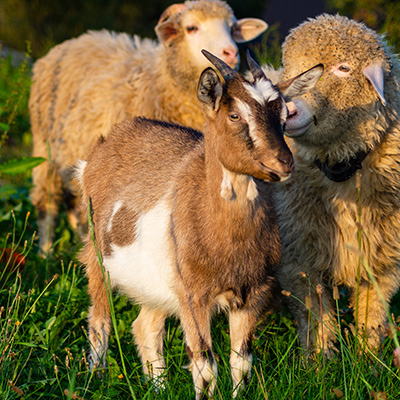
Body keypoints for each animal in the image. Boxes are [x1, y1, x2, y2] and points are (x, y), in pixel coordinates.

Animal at [29, 0, 268, 250]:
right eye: (191, 28)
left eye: (232, 28)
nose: (230, 53)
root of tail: (74, 40)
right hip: (45, 153)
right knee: (47, 206)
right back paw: (46, 252)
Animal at [77, 51, 322, 398]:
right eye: (234, 115)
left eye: (284, 115)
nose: (283, 163)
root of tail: (103, 147)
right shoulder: (194, 295)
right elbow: (205, 367)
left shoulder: (251, 291)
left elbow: (241, 363)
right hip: (97, 257)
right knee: (100, 322)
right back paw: (96, 381)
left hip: (159, 284)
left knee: (145, 326)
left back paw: (159, 388)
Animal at [276, 14, 400, 354]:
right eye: (288, 65)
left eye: (343, 68)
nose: (286, 111)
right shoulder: (298, 258)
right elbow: (315, 315)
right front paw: (319, 359)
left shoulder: (383, 261)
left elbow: (371, 312)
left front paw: (367, 357)